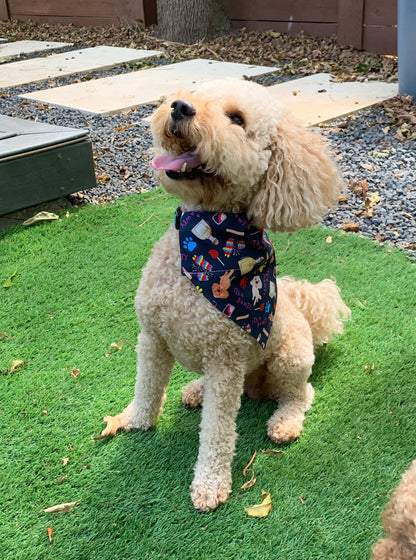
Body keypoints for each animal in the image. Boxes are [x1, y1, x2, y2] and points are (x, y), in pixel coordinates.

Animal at [101, 79, 352, 512]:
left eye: (237, 119)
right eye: (196, 95)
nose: (180, 107)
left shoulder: (226, 364)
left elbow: (217, 433)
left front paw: (210, 484)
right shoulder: (152, 338)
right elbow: (147, 388)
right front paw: (136, 420)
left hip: (289, 359)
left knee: (301, 393)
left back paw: (285, 422)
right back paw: (194, 391)